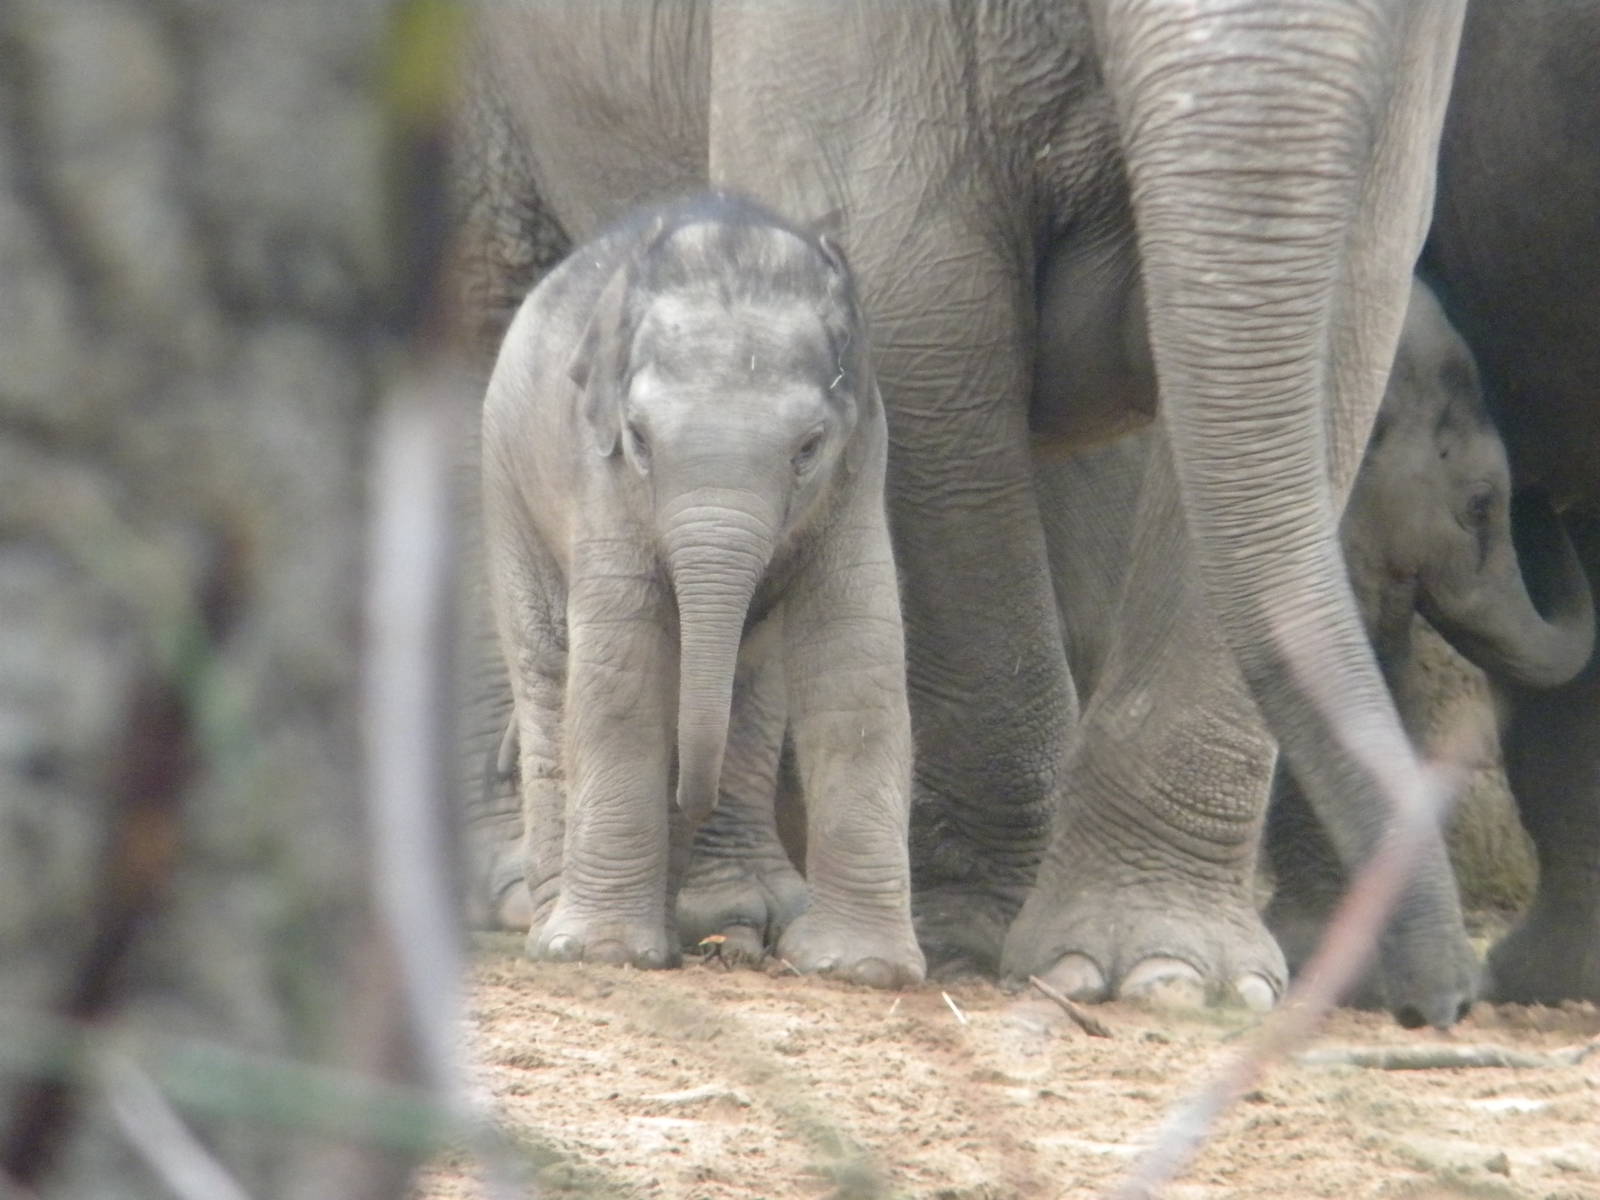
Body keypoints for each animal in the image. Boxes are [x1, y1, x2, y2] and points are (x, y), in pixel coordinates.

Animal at [479, 191, 923, 986]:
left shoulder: (860, 468)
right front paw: (608, 953)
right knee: (551, 674)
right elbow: (621, 673)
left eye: (808, 448)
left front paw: (860, 968)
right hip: (507, 485)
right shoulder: (601, 480)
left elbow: (857, 659)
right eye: (639, 439)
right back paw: (556, 930)